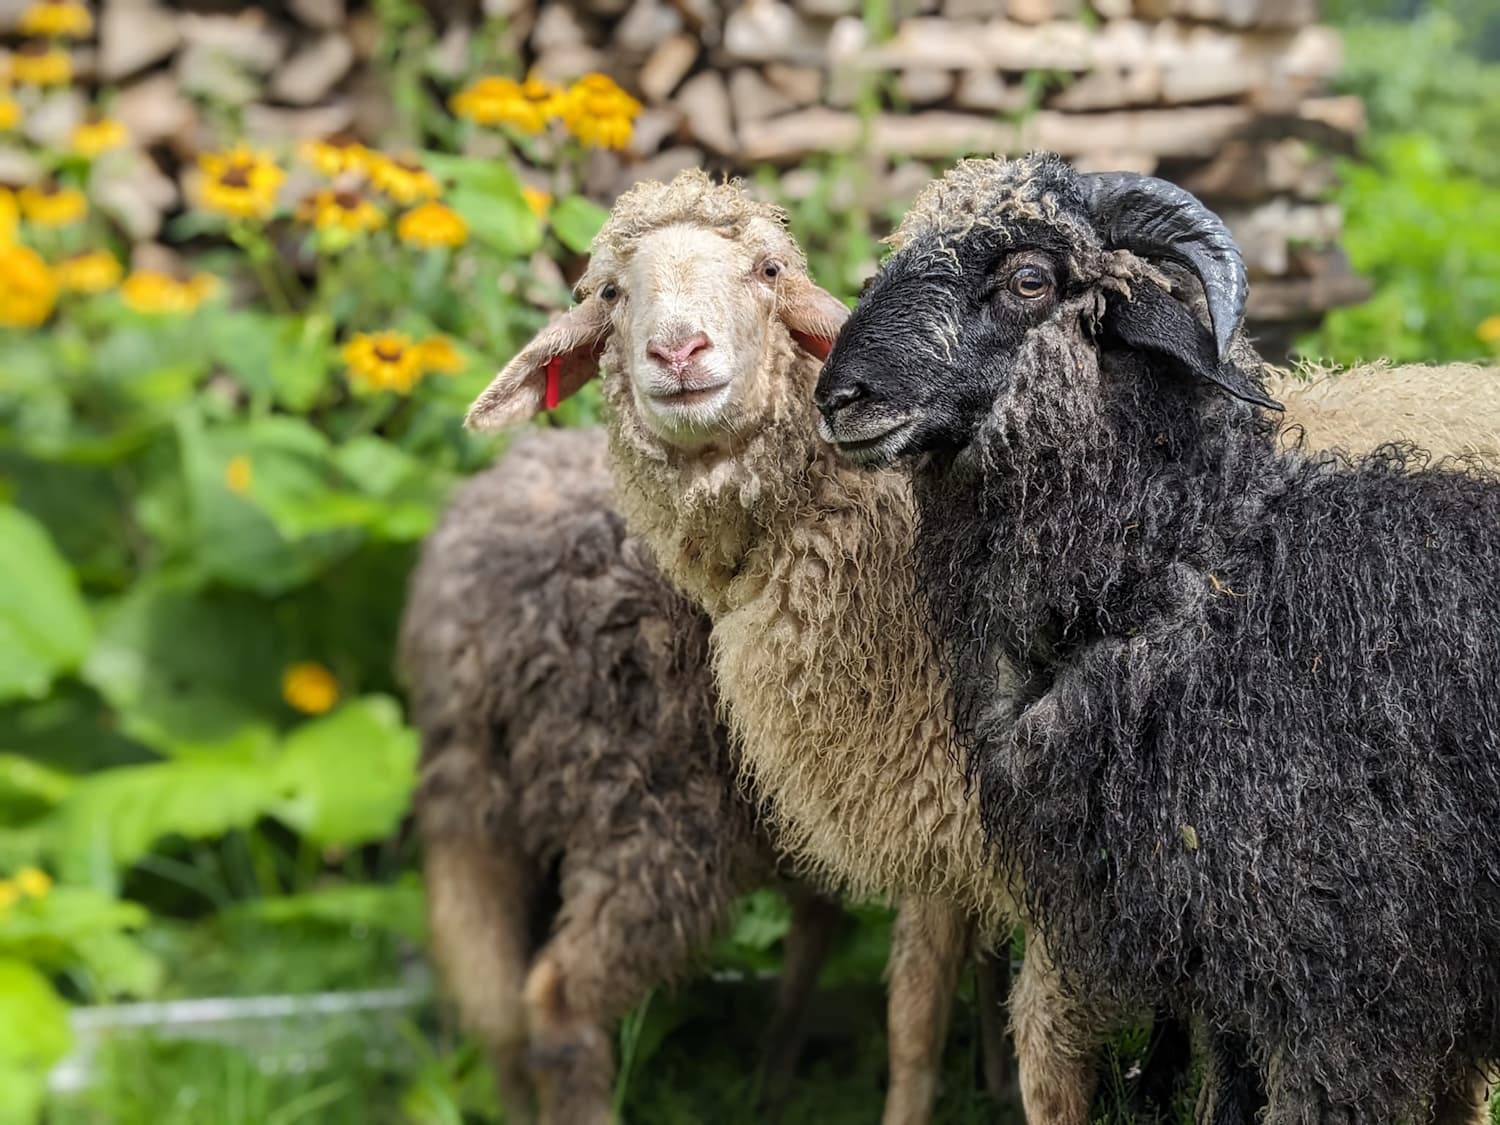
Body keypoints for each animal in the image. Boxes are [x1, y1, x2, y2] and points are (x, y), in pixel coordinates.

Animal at [464, 168, 1198, 1125]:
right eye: (611, 292)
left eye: (769, 269)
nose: (678, 352)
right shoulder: (939, 823)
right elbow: (921, 1013)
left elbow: (1027, 1053)